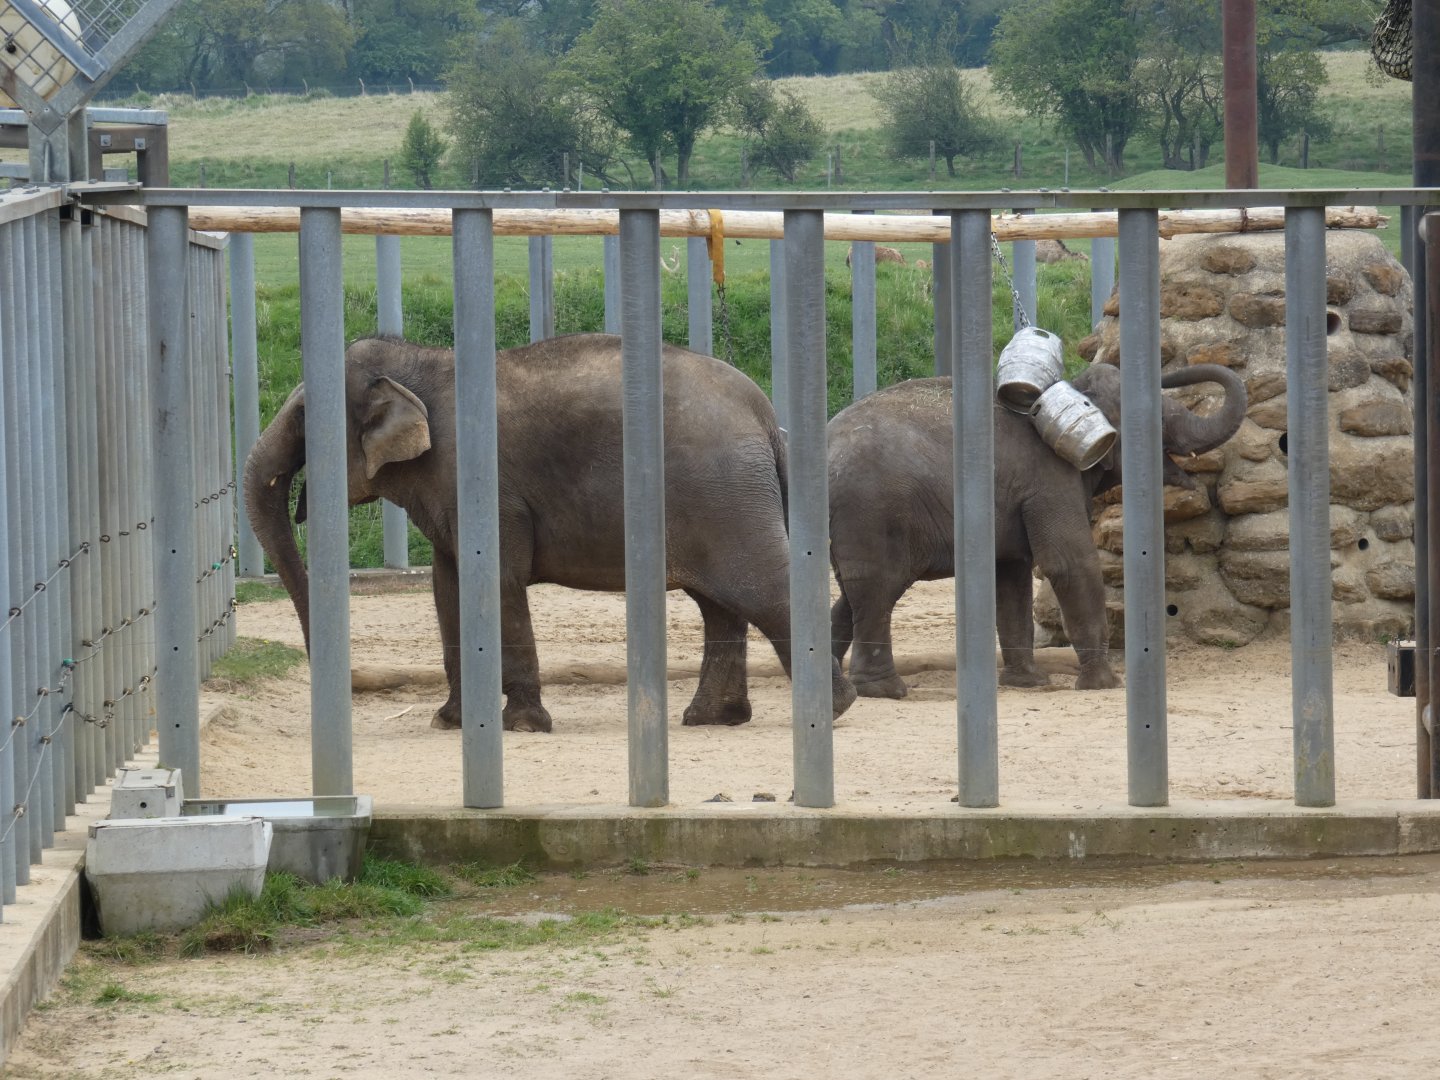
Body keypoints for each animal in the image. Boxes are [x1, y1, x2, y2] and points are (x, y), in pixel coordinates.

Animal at [244, 332, 858, 733]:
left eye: (302, 416)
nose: (345, 688)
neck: (422, 364)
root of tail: (766, 417)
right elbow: (448, 587)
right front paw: (451, 723)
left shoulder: (484, 484)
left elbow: (497, 581)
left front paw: (520, 726)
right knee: (719, 605)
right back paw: (712, 719)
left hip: (725, 495)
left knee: (759, 591)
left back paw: (829, 709)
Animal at [827, 362, 1247, 695]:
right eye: (1158, 422)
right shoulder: (1049, 481)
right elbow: (1069, 563)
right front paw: (1103, 684)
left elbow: (1011, 576)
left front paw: (1029, 683)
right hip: (871, 514)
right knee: (877, 589)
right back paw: (885, 690)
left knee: (853, 594)